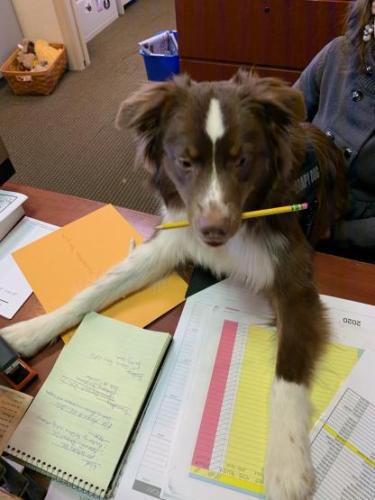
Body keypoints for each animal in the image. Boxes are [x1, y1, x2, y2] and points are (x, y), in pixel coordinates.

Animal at [0, 71, 346, 500]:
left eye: (242, 160)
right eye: (185, 162)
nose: (213, 230)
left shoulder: (293, 277)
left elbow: (288, 375)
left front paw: (287, 466)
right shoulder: (174, 239)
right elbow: (97, 289)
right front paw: (31, 331)